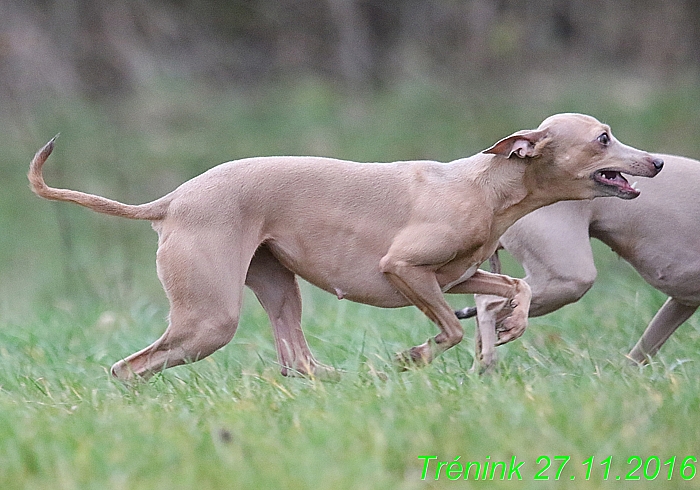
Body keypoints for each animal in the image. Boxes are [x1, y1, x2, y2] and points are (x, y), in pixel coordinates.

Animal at [27, 114, 660, 378]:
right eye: (604, 138)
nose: (654, 161)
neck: (485, 183)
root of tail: (173, 200)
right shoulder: (403, 267)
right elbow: (451, 331)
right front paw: (414, 357)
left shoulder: (454, 277)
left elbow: (514, 286)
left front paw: (510, 324)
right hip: (210, 319)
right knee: (127, 368)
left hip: (277, 288)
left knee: (298, 364)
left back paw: (340, 381)